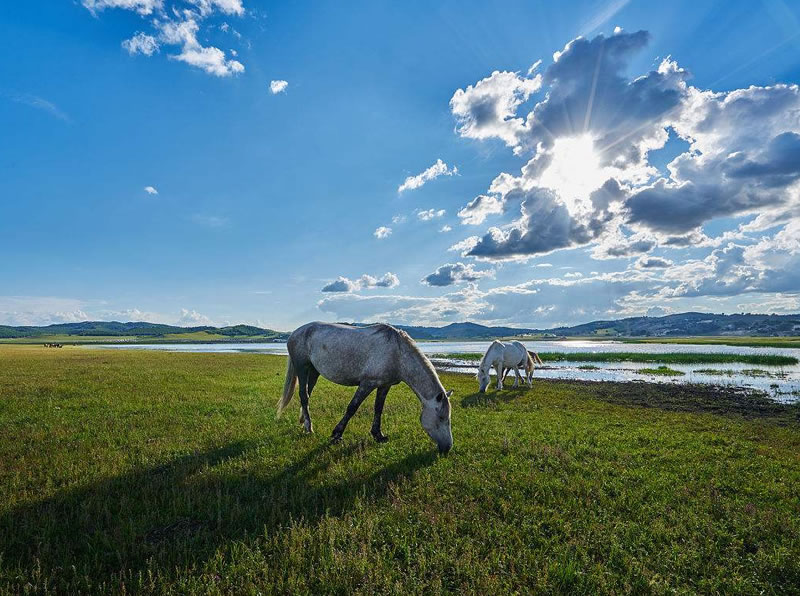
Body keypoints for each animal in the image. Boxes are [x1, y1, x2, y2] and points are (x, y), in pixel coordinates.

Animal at [276, 324, 454, 454]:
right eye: (441, 418)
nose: (447, 448)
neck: (398, 354)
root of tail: (295, 333)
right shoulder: (367, 384)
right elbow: (352, 408)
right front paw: (336, 435)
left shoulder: (384, 385)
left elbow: (378, 408)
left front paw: (378, 435)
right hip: (302, 368)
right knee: (303, 395)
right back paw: (309, 428)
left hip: (313, 371)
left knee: (307, 395)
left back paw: (303, 422)